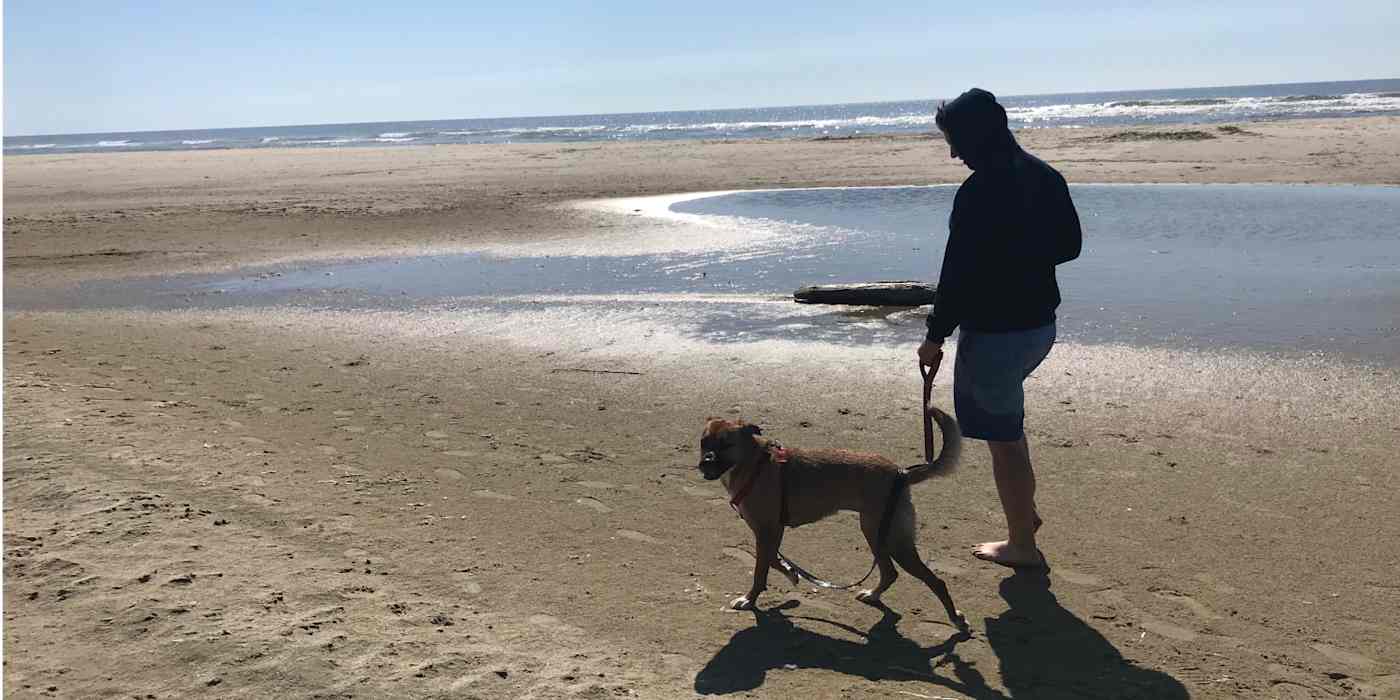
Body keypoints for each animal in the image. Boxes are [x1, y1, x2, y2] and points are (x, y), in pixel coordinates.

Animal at [697, 408, 968, 632]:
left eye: (726, 444)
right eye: (703, 443)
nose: (704, 463)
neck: (753, 463)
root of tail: (901, 474)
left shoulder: (767, 531)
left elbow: (761, 569)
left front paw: (750, 599)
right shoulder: (771, 533)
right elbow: (773, 560)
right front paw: (790, 574)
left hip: (893, 540)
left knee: (936, 581)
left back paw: (956, 618)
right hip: (875, 533)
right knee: (890, 573)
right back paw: (873, 595)